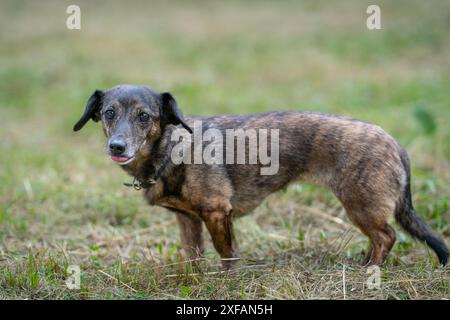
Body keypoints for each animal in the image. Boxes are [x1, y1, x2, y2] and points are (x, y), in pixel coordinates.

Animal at [72, 84, 448, 268]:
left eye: (144, 116)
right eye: (109, 113)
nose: (117, 146)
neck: (171, 148)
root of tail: (395, 143)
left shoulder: (217, 214)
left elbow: (227, 256)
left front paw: (227, 284)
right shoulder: (187, 220)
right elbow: (193, 256)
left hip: (360, 205)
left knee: (386, 236)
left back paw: (370, 269)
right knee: (381, 237)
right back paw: (365, 262)